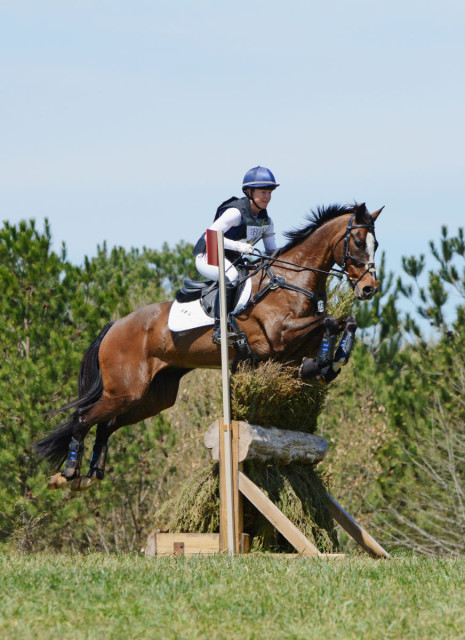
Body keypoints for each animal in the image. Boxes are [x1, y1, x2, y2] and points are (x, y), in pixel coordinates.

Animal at [31, 201, 380, 490]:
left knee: (106, 425)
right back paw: (69, 473)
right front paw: (324, 363)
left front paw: (326, 363)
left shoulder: (292, 345)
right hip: (125, 390)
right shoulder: (279, 336)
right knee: (83, 418)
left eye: (375, 244)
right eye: (358, 242)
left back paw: (93, 472)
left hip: (153, 396)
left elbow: (343, 322)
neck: (289, 281)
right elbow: (330, 322)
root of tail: (114, 326)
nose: (369, 289)